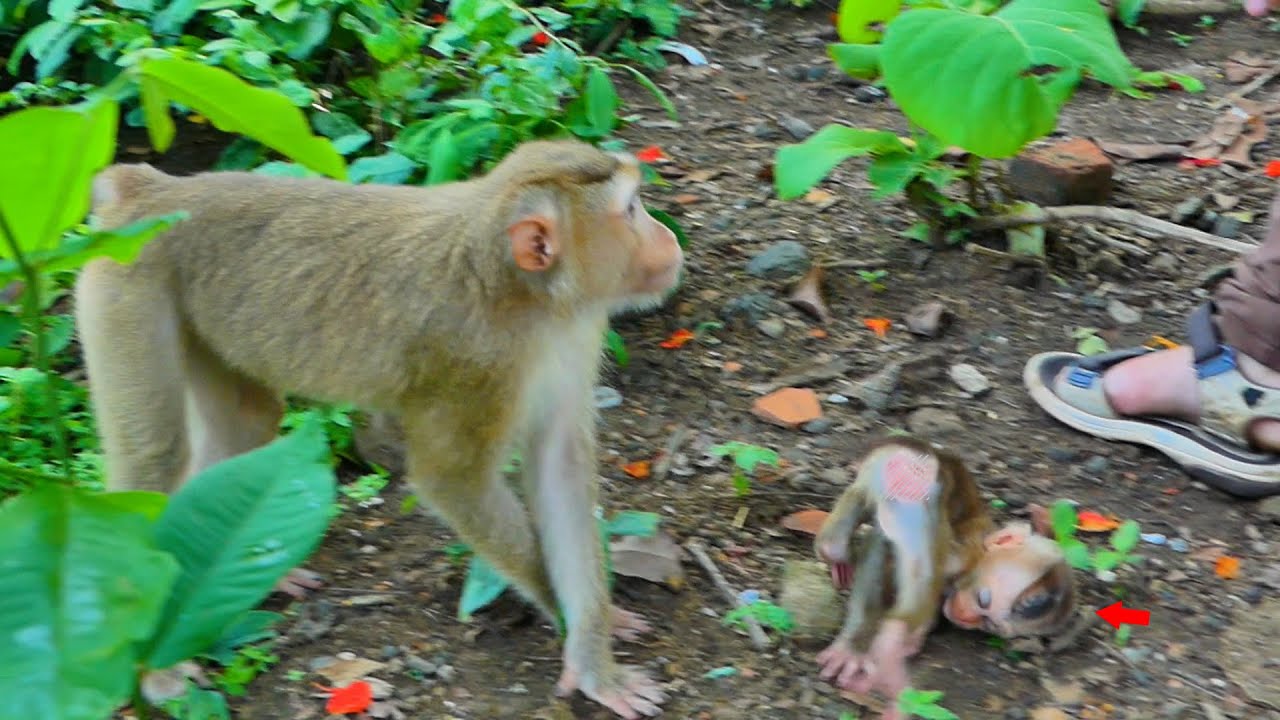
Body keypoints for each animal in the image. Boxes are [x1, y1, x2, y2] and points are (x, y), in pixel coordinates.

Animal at [74, 139, 682, 719]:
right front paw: (566, 620)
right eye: (631, 210)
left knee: (244, 423)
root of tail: (149, 193)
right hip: (127, 292)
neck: (529, 295)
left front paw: (594, 650)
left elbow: (560, 467)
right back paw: (155, 670)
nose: (668, 236)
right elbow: (450, 480)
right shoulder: (474, 363)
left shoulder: (574, 333)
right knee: (153, 455)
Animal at [812, 436, 1075, 719]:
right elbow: (893, 552)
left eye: (987, 624)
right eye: (983, 600)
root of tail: (924, 452)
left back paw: (835, 553)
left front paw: (913, 637)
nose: (966, 616)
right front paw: (870, 643)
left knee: (843, 535)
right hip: (918, 487)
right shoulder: (962, 554)